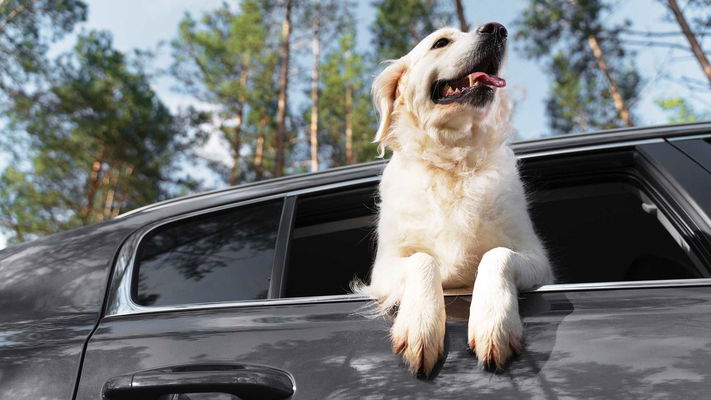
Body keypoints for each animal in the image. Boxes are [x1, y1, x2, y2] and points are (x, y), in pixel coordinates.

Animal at [356, 24, 556, 376]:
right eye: (441, 42)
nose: (497, 29)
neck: (453, 163)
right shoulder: (383, 269)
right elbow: (423, 260)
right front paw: (420, 325)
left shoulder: (537, 259)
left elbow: (497, 254)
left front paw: (493, 322)